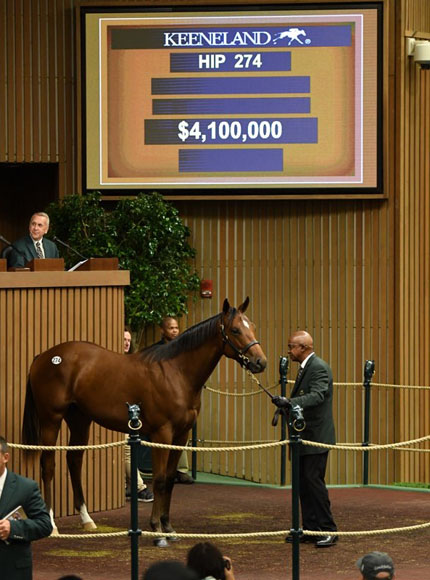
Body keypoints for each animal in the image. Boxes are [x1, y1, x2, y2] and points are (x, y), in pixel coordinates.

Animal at [23, 300, 268, 544]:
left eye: (254, 327)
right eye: (235, 330)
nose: (260, 362)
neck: (177, 373)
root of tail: (44, 356)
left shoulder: (182, 435)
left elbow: (169, 480)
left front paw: (169, 528)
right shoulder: (162, 433)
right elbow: (159, 480)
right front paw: (157, 531)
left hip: (80, 419)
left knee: (74, 461)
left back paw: (87, 519)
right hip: (51, 419)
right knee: (48, 465)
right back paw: (52, 524)